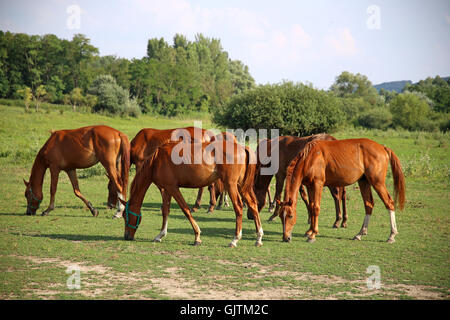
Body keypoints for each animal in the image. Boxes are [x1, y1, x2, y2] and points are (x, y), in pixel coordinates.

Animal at [123, 140, 264, 248]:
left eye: (126, 216)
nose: (126, 236)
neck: (156, 160)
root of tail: (242, 147)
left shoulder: (173, 188)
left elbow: (185, 210)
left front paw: (197, 237)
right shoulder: (167, 189)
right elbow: (165, 211)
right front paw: (160, 235)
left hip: (231, 185)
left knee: (239, 207)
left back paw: (235, 239)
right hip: (241, 186)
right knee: (253, 205)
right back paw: (258, 238)